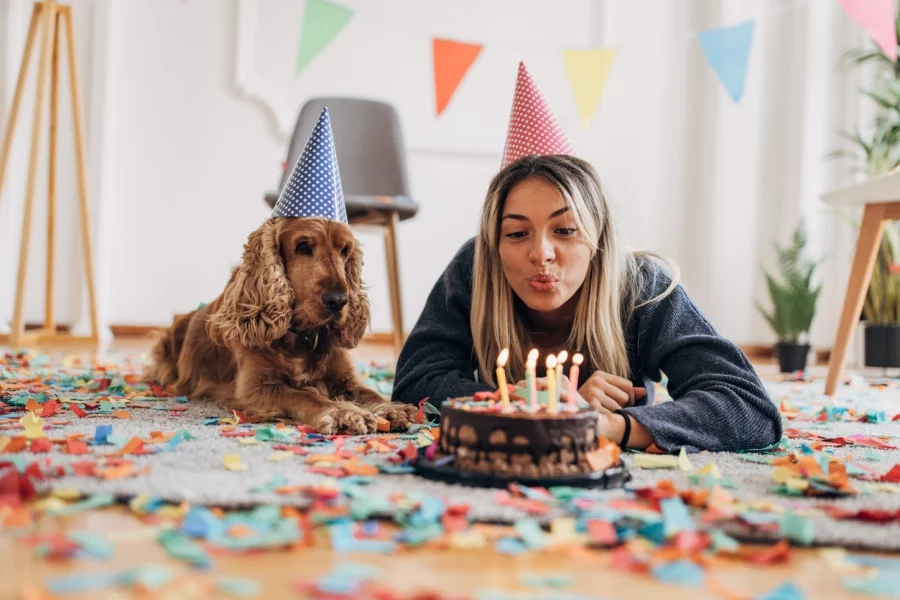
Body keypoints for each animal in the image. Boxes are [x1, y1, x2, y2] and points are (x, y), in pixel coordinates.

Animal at [145, 218, 418, 434]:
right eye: (303, 246)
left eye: (345, 250)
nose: (339, 300)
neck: (301, 340)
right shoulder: (256, 387)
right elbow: (306, 396)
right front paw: (344, 413)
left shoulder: (344, 377)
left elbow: (367, 392)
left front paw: (390, 408)